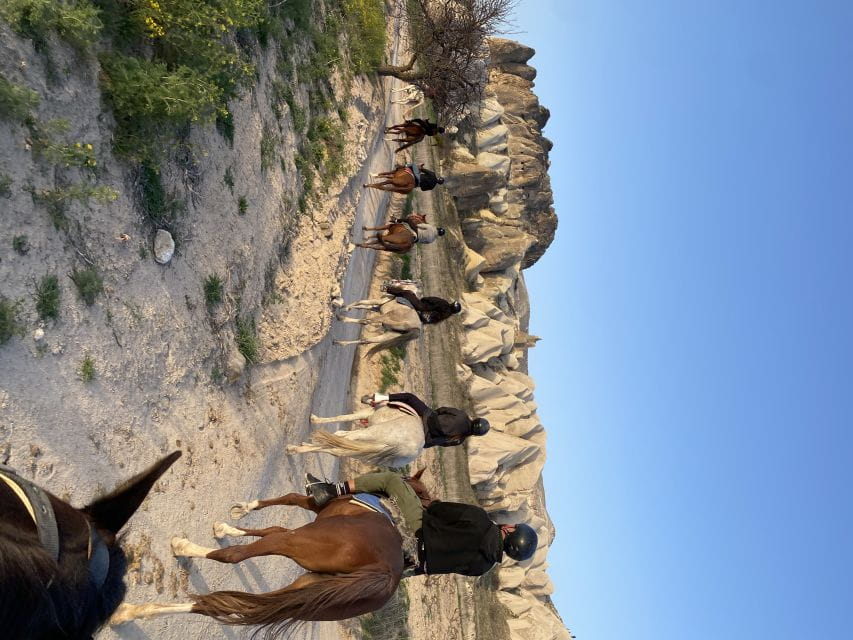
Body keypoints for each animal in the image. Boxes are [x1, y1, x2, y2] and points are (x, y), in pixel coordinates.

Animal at [109, 471, 434, 636]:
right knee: (231, 605)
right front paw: (227, 525)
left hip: (294, 544)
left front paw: (241, 510)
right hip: (307, 591)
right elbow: (271, 523)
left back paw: (182, 548)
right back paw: (129, 613)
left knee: (235, 557)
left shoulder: (309, 514)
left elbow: (286, 502)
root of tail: (386, 573)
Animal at [285, 403, 425, 467]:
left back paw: (293, 449)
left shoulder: (367, 412)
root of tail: (410, 449)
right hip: (365, 452)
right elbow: (340, 432)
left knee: (340, 441)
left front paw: (314, 420)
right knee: (337, 449)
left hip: (367, 435)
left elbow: (341, 418)